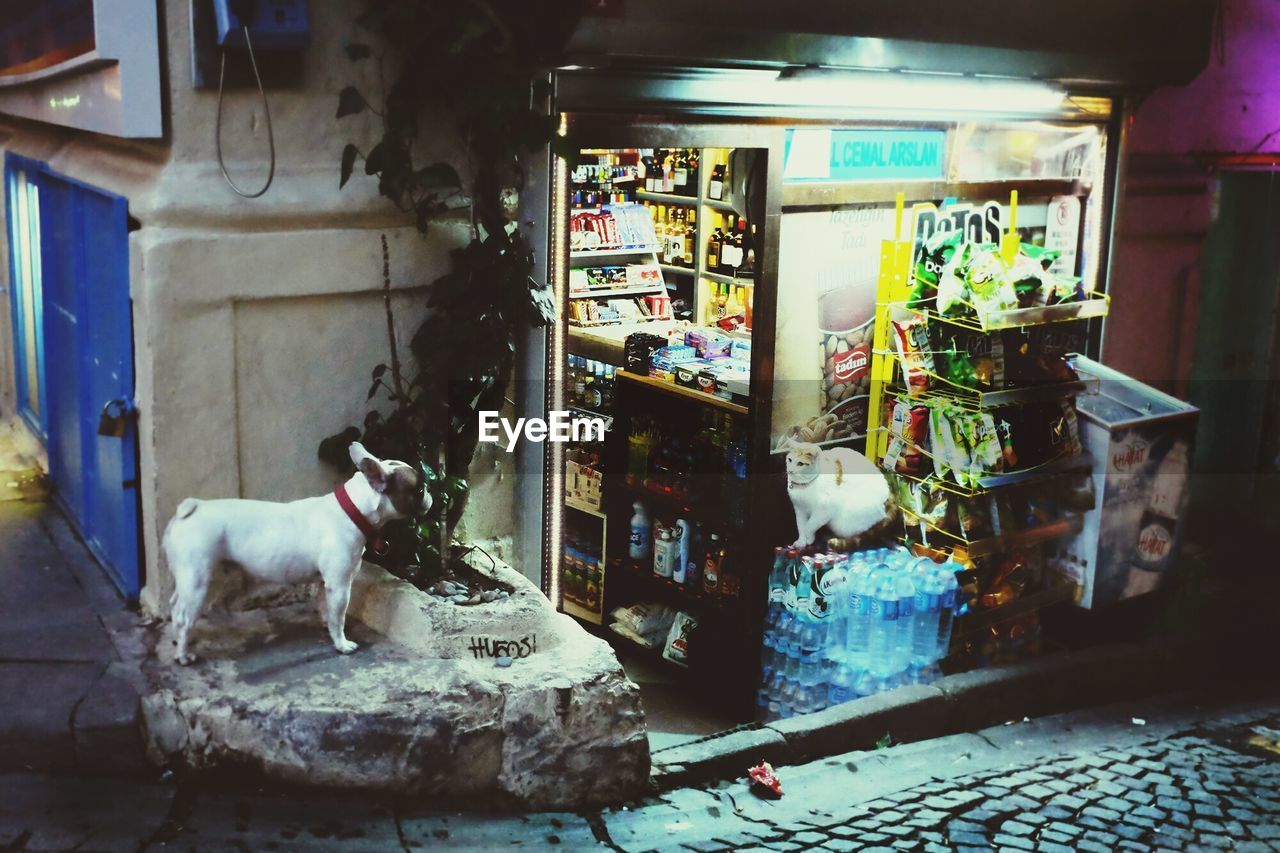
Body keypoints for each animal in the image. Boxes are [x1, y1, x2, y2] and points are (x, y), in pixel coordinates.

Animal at [160, 440, 427, 660]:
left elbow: (327, 610)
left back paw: (178, 641)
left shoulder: (325, 584)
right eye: (420, 489)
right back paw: (183, 655)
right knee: (184, 616)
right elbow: (339, 615)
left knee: (175, 605)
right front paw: (342, 644)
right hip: (198, 580)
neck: (354, 509)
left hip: (191, 578)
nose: (430, 497)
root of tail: (193, 507)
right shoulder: (340, 585)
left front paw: (328, 628)